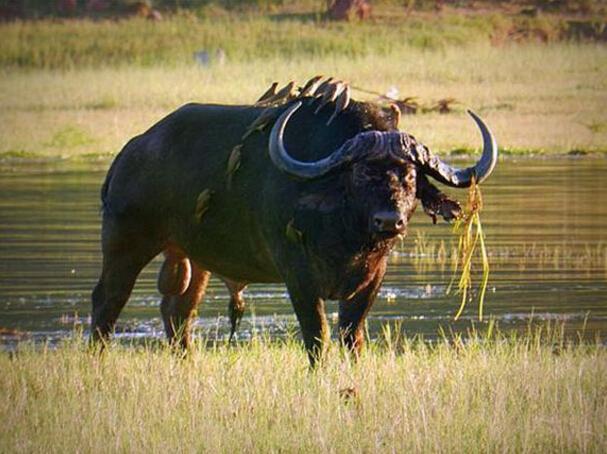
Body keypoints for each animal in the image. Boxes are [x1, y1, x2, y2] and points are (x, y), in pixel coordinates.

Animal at [92, 77, 496, 366]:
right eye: (361, 173)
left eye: (410, 175)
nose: (389, 221)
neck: (346, 236)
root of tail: (131, 152)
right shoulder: (297, 274)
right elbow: (317, 335)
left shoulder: (373, 277)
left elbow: (352, 335)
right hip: (125, 241)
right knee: (107, 300)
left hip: (195, 257)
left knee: (178, 312)